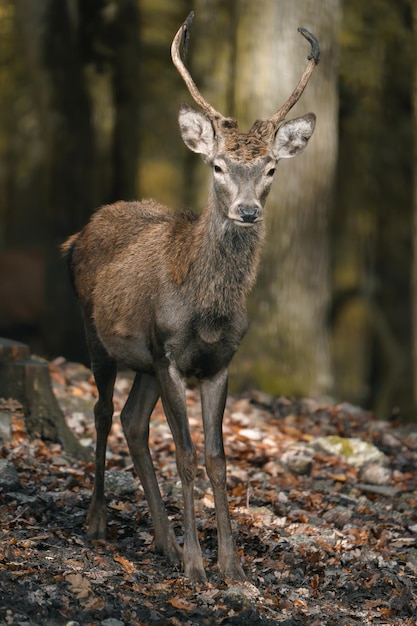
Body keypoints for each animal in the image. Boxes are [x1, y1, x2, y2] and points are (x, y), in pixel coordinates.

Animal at [61, 12, 318, 584]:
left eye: (270, 168)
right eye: (218, 165)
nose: (247, 211)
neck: (206, 311)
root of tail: (77, 235)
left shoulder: (219, 362)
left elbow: (218, 459)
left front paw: (231, 567)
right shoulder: (171, 355)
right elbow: (183, 453)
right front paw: (200, 568)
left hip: (144, 361)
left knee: (133, 421)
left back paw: (164, 542)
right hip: (99, 335)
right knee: (103, 411)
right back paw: (98, 521)